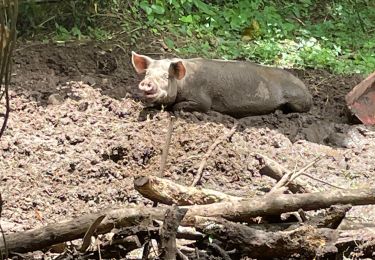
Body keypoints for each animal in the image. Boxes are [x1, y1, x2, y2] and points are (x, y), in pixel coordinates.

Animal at [131, 51, 312, 117]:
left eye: (165, 76)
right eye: (147, 73)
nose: (147, 83)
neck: (184, 83)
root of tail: (307, 90)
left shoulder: (203, 99)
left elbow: (183, 106)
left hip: (298, 100)